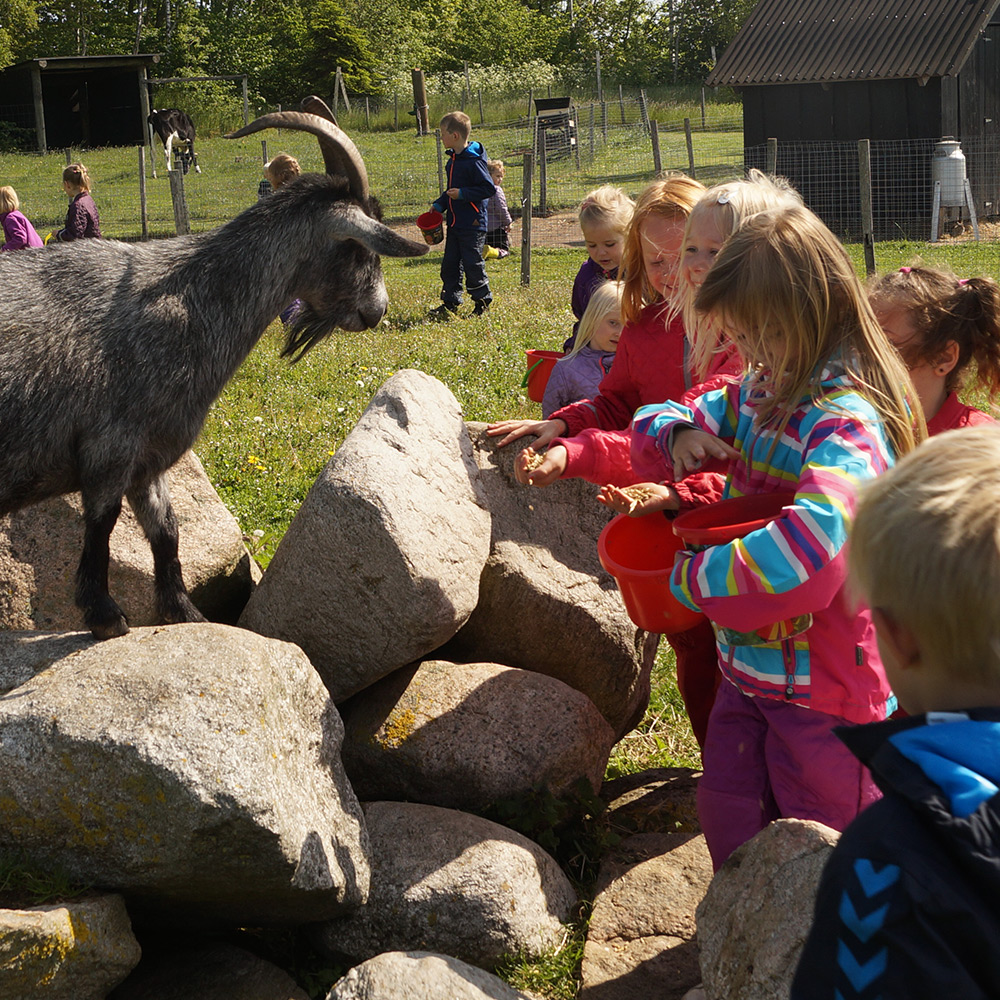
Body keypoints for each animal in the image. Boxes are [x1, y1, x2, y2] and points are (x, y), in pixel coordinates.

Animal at [0, 105, 426, 636]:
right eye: (356, 243)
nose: (377, 311)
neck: (187, 300)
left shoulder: (149, 457)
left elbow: (167, 532)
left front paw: (184, 613)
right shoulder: (110, 446)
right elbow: (102, 527)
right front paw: (105, 616)